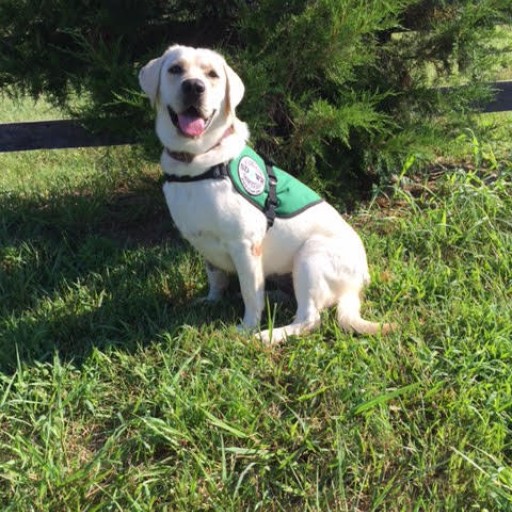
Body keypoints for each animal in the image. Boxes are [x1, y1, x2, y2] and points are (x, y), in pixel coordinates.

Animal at [140, 45, 392, 344]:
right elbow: (216, 278)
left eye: (212, 74)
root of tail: (358, 283)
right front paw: (212, 300)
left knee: (310, 319)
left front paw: (247, 327)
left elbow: (250, 294)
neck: (197, 162)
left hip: (311, 256)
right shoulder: (204, 245)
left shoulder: (245, 246)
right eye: (175, 69)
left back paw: (269, 336)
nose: (193, 87)